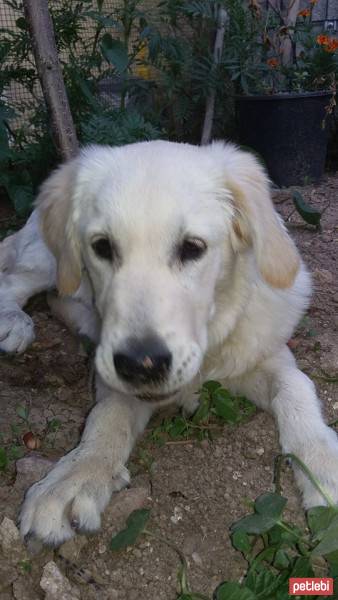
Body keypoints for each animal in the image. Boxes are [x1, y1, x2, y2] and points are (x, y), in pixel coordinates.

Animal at [0, 139, 338, 544]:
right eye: (102, 247)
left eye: (192, 247)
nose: (141, 364)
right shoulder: (115, 375)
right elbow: (106, 417)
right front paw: (73, 477)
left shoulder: (264, 354)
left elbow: (296, 388)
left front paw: (322, 462)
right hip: (52, 261)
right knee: (13, 282)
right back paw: (14, 322)